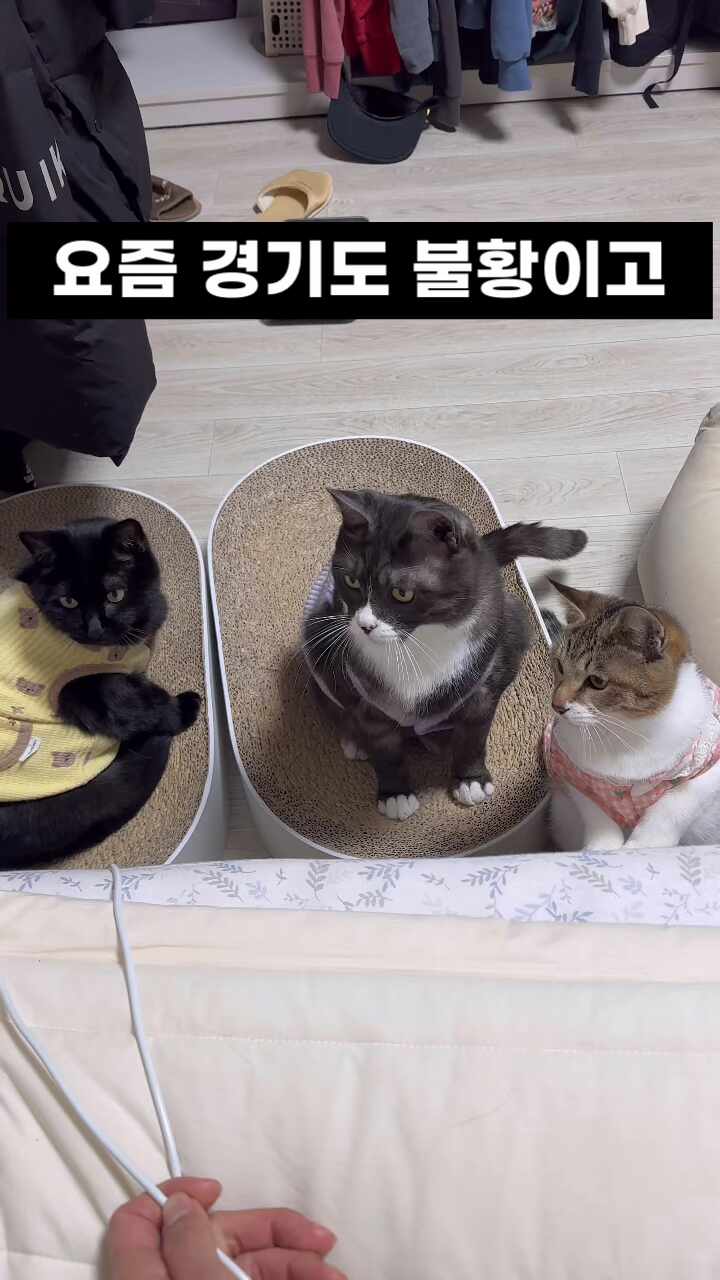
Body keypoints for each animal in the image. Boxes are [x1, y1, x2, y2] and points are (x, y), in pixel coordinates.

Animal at [0, 517, 201, 869]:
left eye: (115, 595)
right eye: (68, 602)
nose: (93, 630)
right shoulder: (97, 689)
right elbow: (146, 705)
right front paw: (186, 706)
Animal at [303, 489, 587, 821]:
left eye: (402, 593)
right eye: (351, 581)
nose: (364, 626)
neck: (416, 643)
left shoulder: (482, 686)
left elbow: (474, 737)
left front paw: (471, 781)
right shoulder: (363, 692)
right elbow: (384, 749)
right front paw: (395, 794)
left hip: (516, 625)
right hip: (318, 637)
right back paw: (354, 741)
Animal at [546, 581, 720, 851]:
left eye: (597, 681)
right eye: (560, 666)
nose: (557, 705)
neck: (626, 729)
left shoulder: (707, 769)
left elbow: (672, 807)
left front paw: (641, 846)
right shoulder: (575, 774)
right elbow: (596, 814)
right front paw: (601, 848)